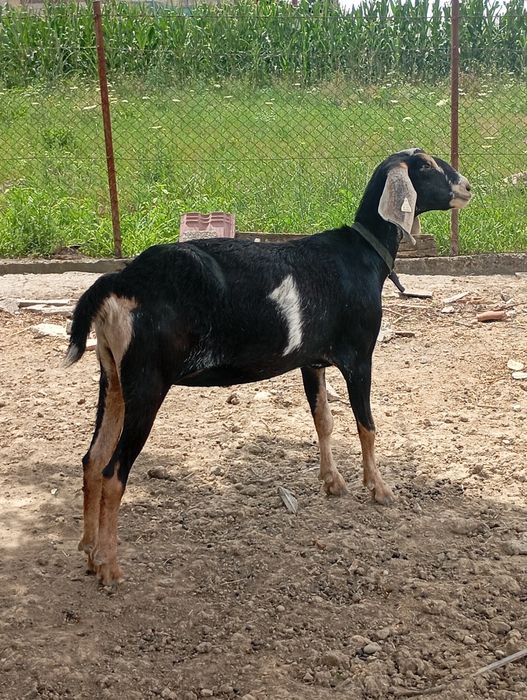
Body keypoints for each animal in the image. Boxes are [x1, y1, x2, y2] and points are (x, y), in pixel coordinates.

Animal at [66, 148, 472, 586]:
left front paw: (333, 483)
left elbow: (323, 421)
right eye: (426, 166)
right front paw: (379, 489)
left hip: (112, 377)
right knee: (113, 472)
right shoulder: (359, 357)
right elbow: (367, 425)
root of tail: (121, 282)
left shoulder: (312, 361)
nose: (466, 188)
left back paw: (88, 551)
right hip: (147, 381)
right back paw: (110, 566)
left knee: (92, 459)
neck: (360, 257)